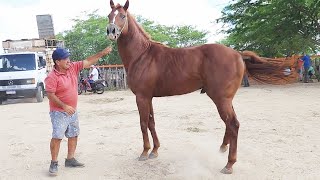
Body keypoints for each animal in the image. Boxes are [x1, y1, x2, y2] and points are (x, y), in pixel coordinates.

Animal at [105, 0, 298, 174]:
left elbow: (143, 123)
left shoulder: (142, 97)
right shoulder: (148, 97)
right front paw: (155, 150)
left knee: (233, 124)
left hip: (220, 98)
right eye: (109, 15)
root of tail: (237, 54)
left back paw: (229, 164)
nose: (111, 31)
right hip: (226, 99)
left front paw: (144, 152)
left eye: (122, 16)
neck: (143, 55)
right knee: (230, 123)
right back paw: (223, 148)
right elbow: (152, 122)